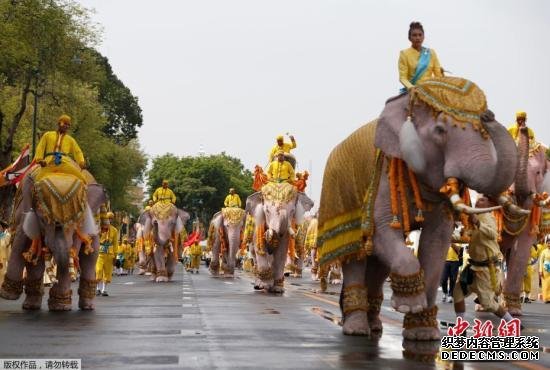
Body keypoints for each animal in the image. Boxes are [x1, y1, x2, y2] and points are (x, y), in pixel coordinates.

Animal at [0, 169, 108, 310]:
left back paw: (87, 306)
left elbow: (72, 252)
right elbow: (28, 249)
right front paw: (9, 295)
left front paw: (60, 307)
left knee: (90, 258)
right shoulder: (23, 214)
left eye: (74, 223)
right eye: (43, 220)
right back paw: (31, 305)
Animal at [316, 77, 520, 342]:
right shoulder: (386, 173)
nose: (489, 115)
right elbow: (382, 231)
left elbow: (436, 241)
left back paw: (375, 326)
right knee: (356, 256)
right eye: (440, 130)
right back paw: (356, 330)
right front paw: (408, 306)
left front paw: (423, 333)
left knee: (379, 263)